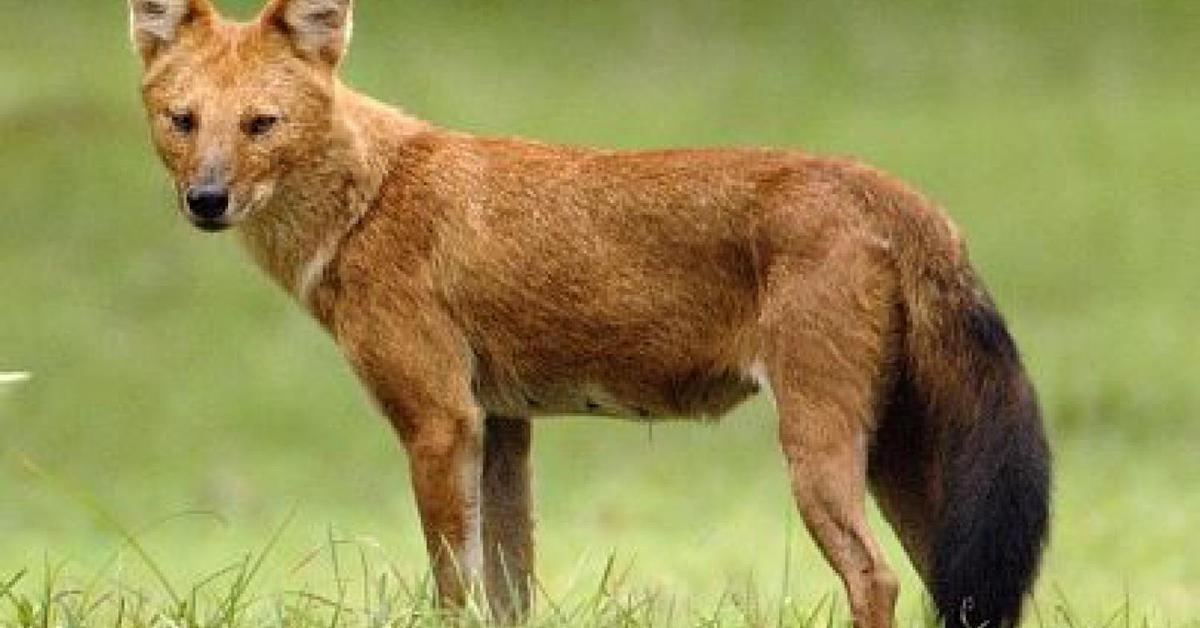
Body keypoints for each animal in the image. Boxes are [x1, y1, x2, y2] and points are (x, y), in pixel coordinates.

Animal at [129, 2, 1051, 624]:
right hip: (903, 461)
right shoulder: (501, 423)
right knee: (953, 587)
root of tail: (893, 190)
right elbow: (509, 589)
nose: (205, 200)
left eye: (261, 124)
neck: (367, 198)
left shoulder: (440, 421)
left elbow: (453, 588)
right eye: (183, 121)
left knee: (876, 577)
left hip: (818, 448)